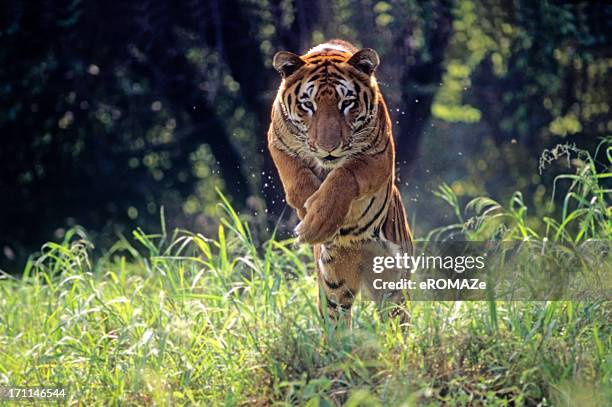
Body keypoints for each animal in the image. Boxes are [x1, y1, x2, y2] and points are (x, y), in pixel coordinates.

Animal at [266, 39, 412, 326]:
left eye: (348, 103)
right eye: (307, 105)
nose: (328, 148)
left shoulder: (378, 156)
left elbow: (343, 176)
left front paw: (319, 221)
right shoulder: (277, 142)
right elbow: (298, 180)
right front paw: (310, 219)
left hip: (393, 279)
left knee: (396, 315)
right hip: (335, 278)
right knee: (337, 316)